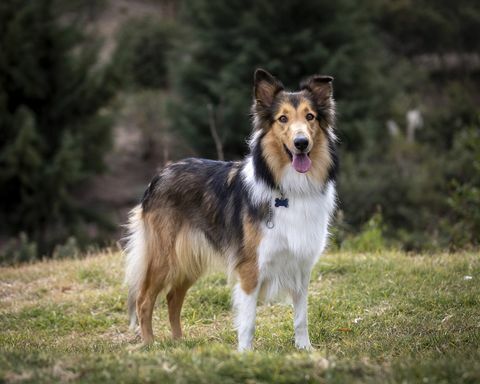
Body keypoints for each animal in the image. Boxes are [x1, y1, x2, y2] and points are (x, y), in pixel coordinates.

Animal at [123, 69, 338, 352]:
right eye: (282, 119)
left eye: (310, 116)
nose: (301, 143)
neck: (289, 190)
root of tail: (160, 175)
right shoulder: (250, 269)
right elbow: (248, 320)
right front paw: (245, 354)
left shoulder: (301, 266)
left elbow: (301, 316)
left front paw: (304, 349)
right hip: (163, 256)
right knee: (145, 299)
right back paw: (150, 344)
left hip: (190, 258)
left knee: (172, 297)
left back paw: (180, 342)